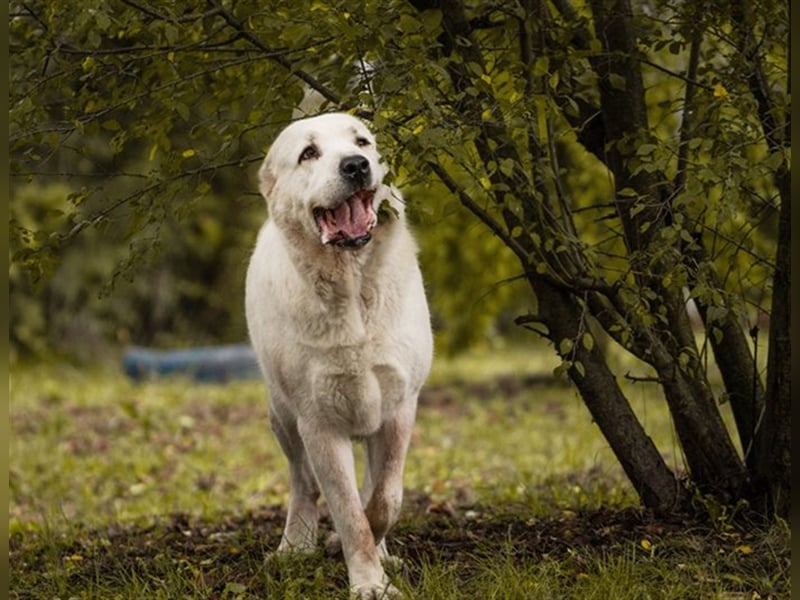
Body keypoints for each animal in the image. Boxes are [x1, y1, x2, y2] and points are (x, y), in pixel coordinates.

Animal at [244, 113, 432, 600]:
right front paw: (368, 582)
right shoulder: (320, 425)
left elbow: (384, 499)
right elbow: (349, 513)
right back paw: (296, 545)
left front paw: (371, 557)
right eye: (308, 153)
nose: (355, 166)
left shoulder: (399, 408)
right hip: (282, 416)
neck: (352, 288)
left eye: (362, 142)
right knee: (302, 482)